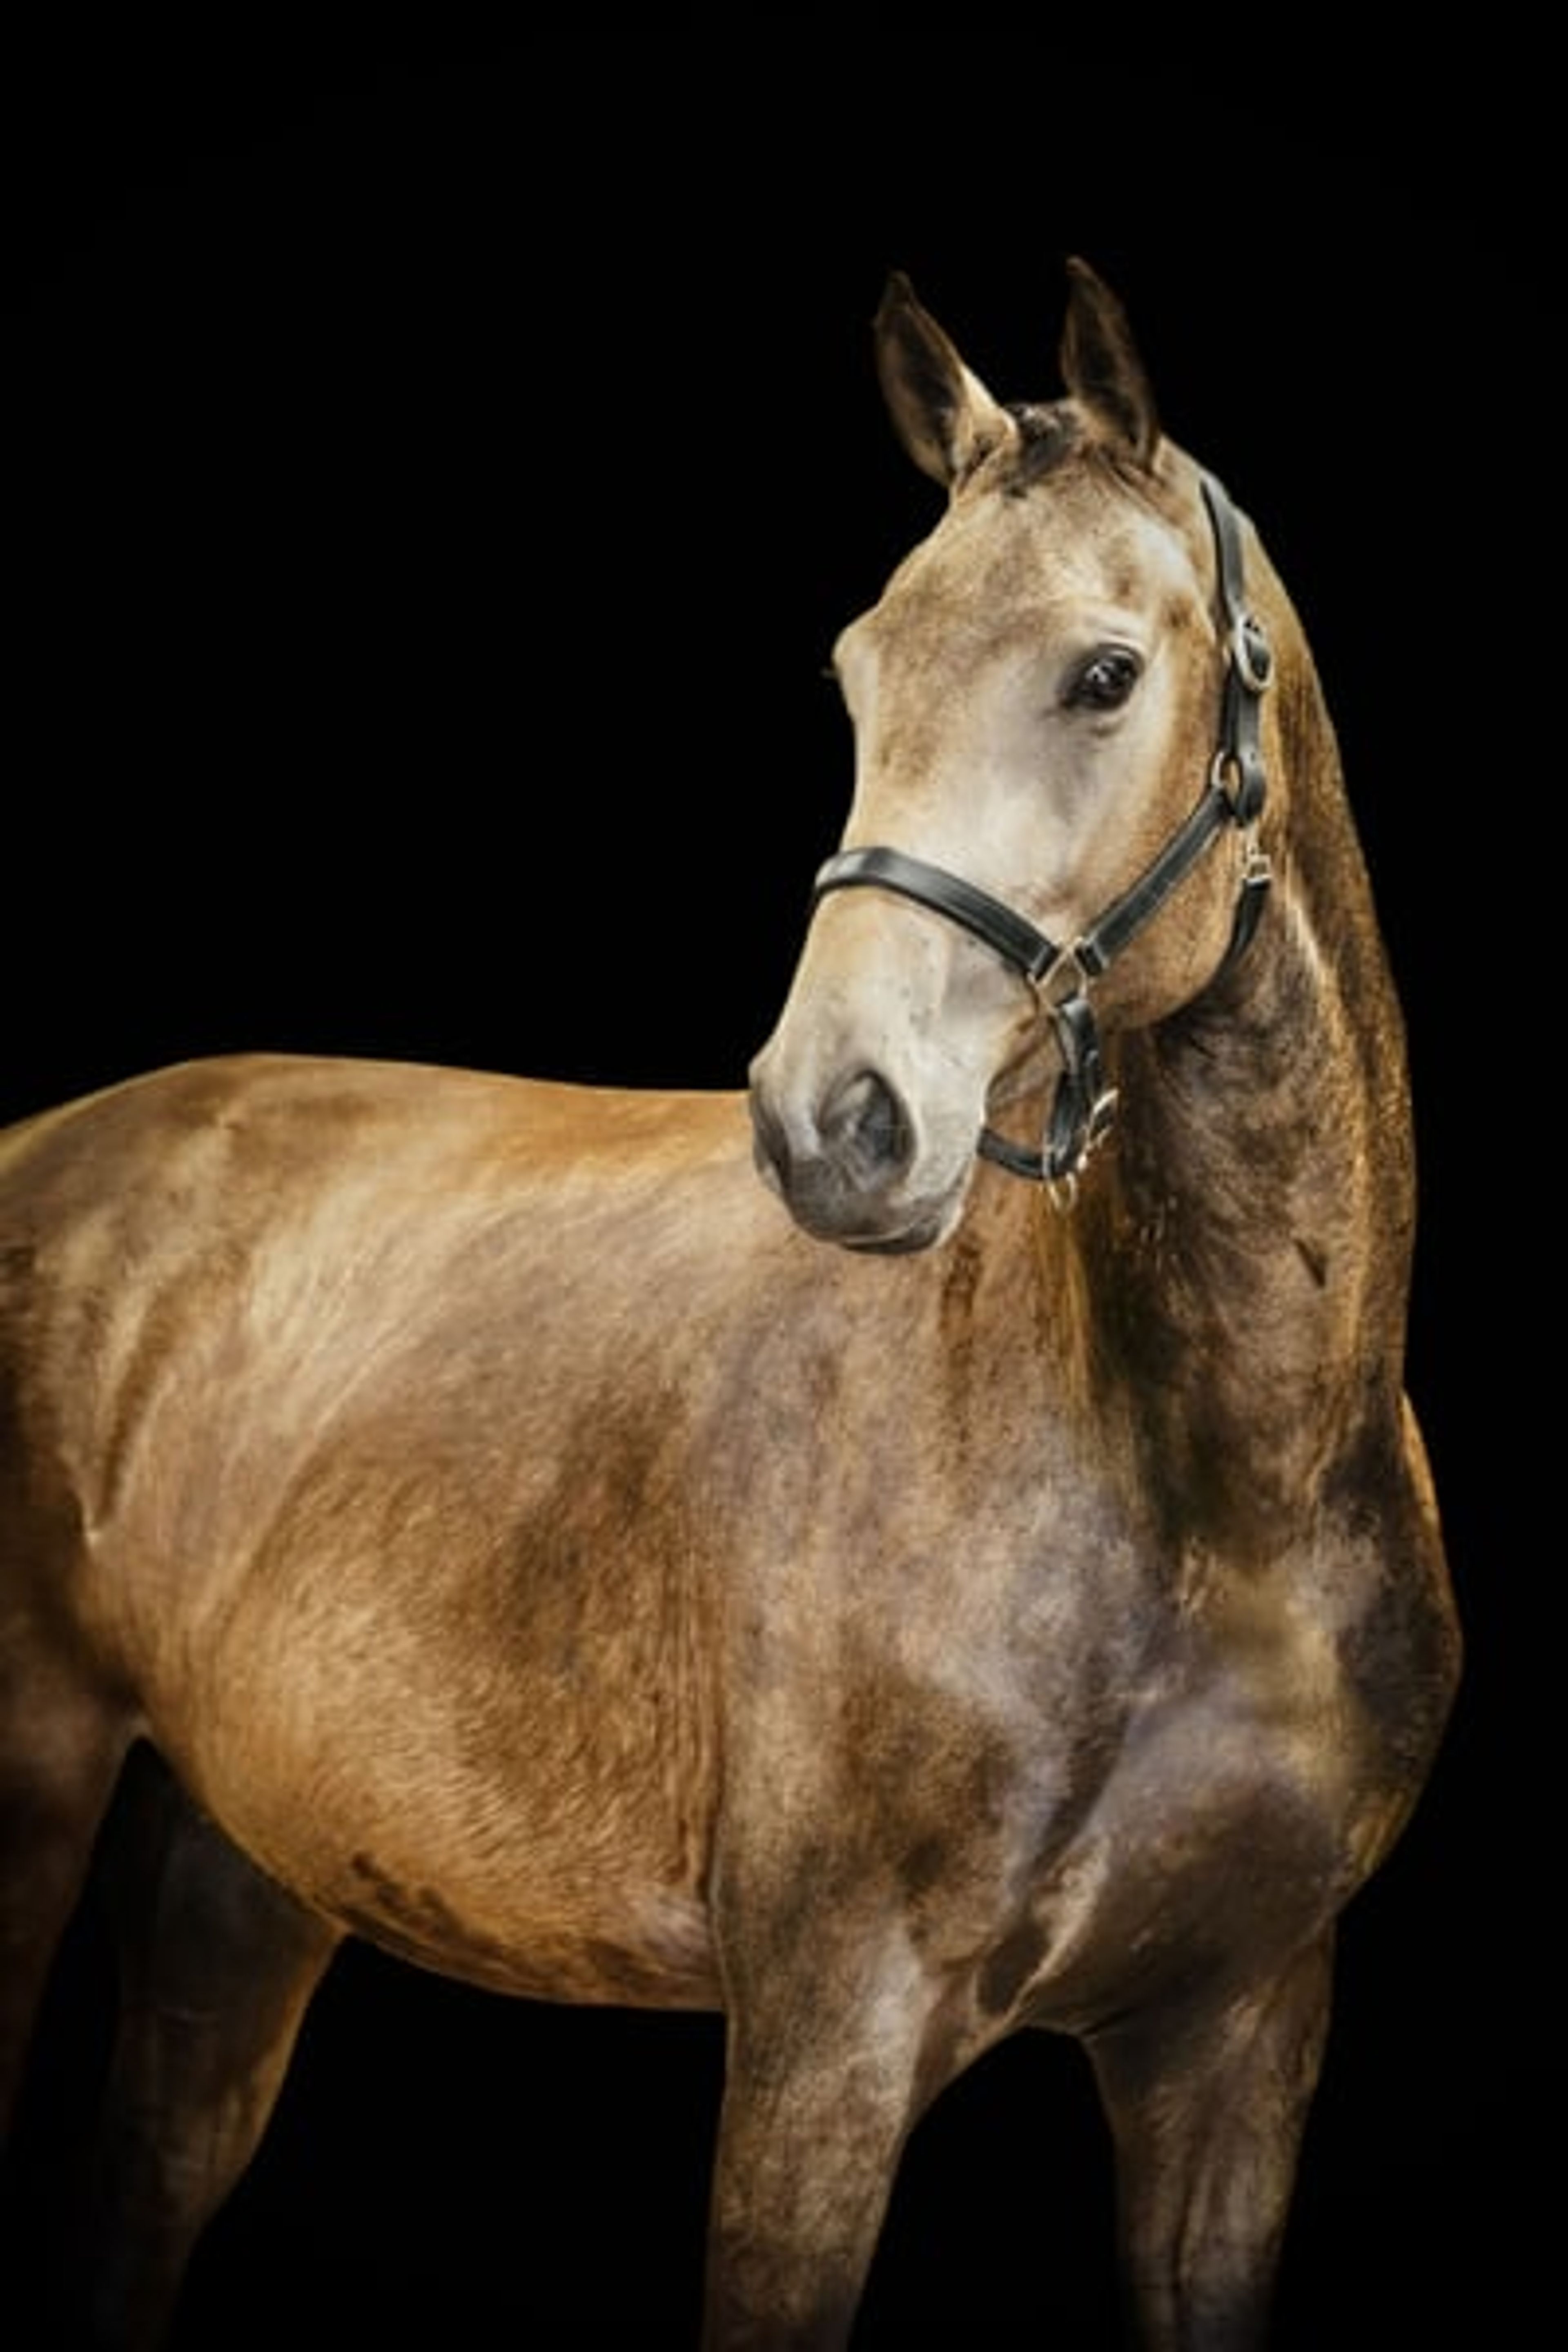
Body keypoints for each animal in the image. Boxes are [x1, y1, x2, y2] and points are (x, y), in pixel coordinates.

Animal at [0, 258, 1458, 2349]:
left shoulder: (1239, 2043)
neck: (1217, 1506)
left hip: (238, 1866)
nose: (833, 1122)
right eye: (855, 673)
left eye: (1106, 675)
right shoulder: (820, 2045)